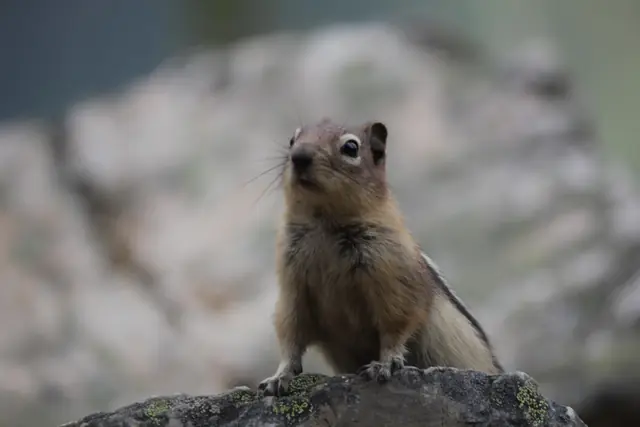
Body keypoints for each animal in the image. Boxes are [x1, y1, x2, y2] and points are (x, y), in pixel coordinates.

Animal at [258, 118, 504, 396]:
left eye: (351, 147)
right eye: (292, 140)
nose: (299, 156)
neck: (325, 224)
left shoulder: (393, 281)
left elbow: (394, 328)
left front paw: (384, 364)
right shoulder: (292, 288)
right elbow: (290, 334)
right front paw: (279, 376)